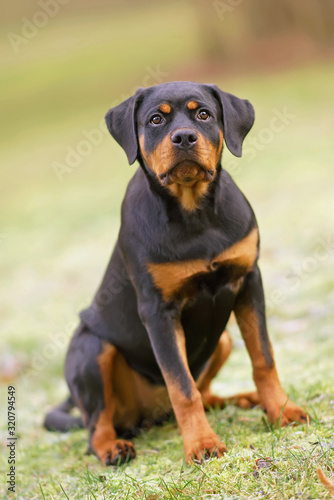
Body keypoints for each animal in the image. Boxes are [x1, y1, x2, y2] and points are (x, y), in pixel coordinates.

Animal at [45, 81, 308, 464]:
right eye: (156, 119)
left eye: (204, 115)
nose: (184, 137)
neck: (194, 213)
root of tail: (150, 415)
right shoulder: (158, 311)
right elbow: (181, 386)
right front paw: (202, 444)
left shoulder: (248, 280)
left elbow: (263, 357)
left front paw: (282, 411)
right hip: (91, 348)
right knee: (97, 424)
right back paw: (113, 448)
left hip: (223, 339)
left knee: (206, 391)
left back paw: (243, 398)